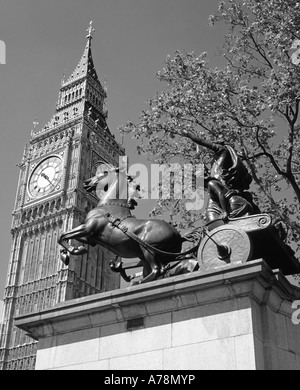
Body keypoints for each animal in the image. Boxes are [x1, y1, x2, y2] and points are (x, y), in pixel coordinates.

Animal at [57, 161, 188, 284]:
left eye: (104, 172)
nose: (86, 182)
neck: (109, 206)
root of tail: (178, 236)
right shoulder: (92, 239)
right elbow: (67, 236)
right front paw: (71, 252)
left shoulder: (87, 228)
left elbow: (62, 235)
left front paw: (74, 251)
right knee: (159, 270)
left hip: (148, 248)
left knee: (157, 269)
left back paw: (139, 282)